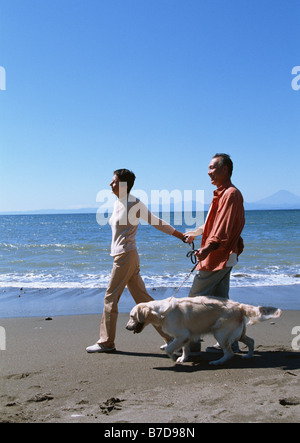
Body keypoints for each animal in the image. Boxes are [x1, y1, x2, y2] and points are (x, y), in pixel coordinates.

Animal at [125, 296, 282, 366]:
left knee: (229, 352)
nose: (126, 327)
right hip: (238, 333)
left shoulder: (182, 335)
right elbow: (185, 348)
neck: (162, 312)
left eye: (132, 316)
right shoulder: (185, 336)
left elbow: (169, 348)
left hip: (220, 332)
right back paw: (248, 356)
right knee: (250, 341)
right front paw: (183, 358)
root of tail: (239, 305)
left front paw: (174, 357)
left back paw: (218, 362)